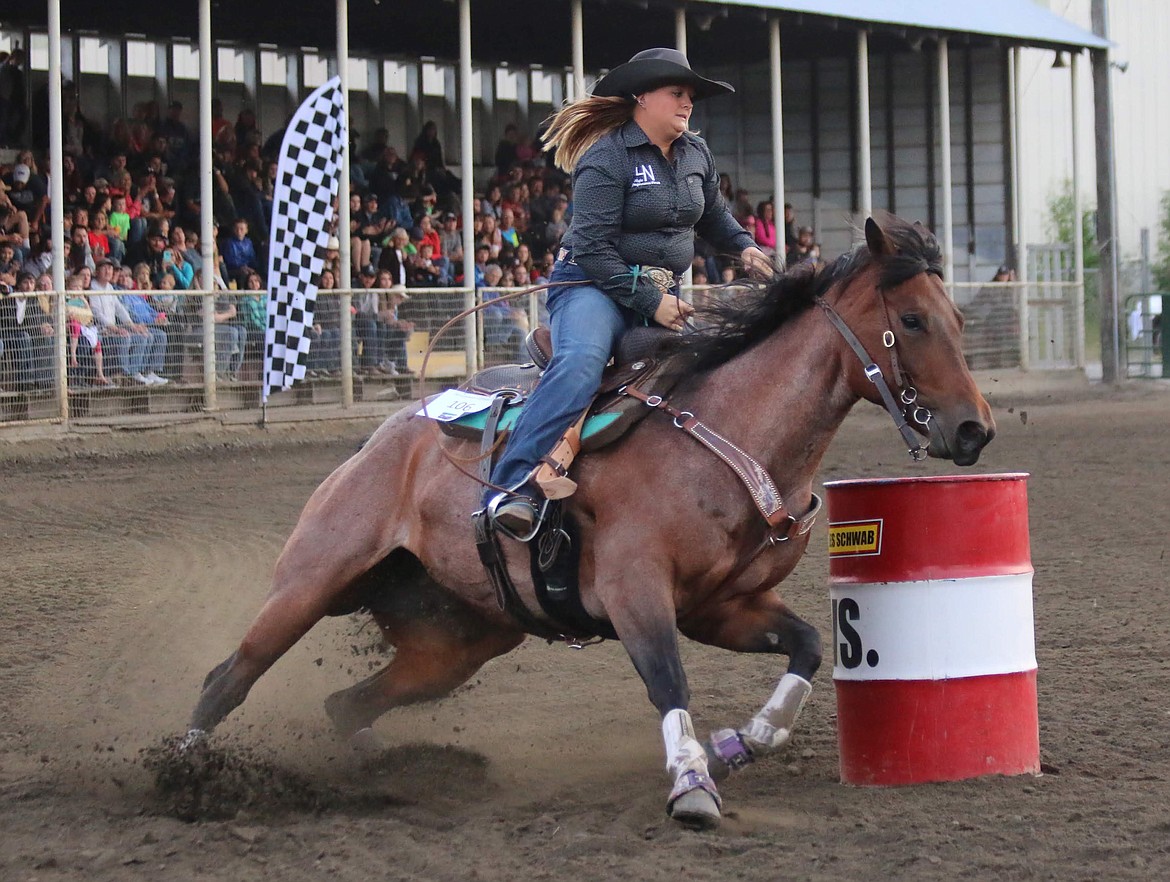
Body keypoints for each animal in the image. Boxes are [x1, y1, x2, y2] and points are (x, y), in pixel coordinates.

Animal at [187, 215, 992, 823]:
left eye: (959, 319)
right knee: (229, 677)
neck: (733, 434)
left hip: (455, 643)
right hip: (311, 581)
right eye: (912, 320)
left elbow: (808, 648)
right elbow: (669, 682)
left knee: (346, 705)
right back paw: (189, 775)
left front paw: (744, 741)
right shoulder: (637, 593)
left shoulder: (722, 606)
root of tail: (381, 441)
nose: (975, 429)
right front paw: (692, 785)